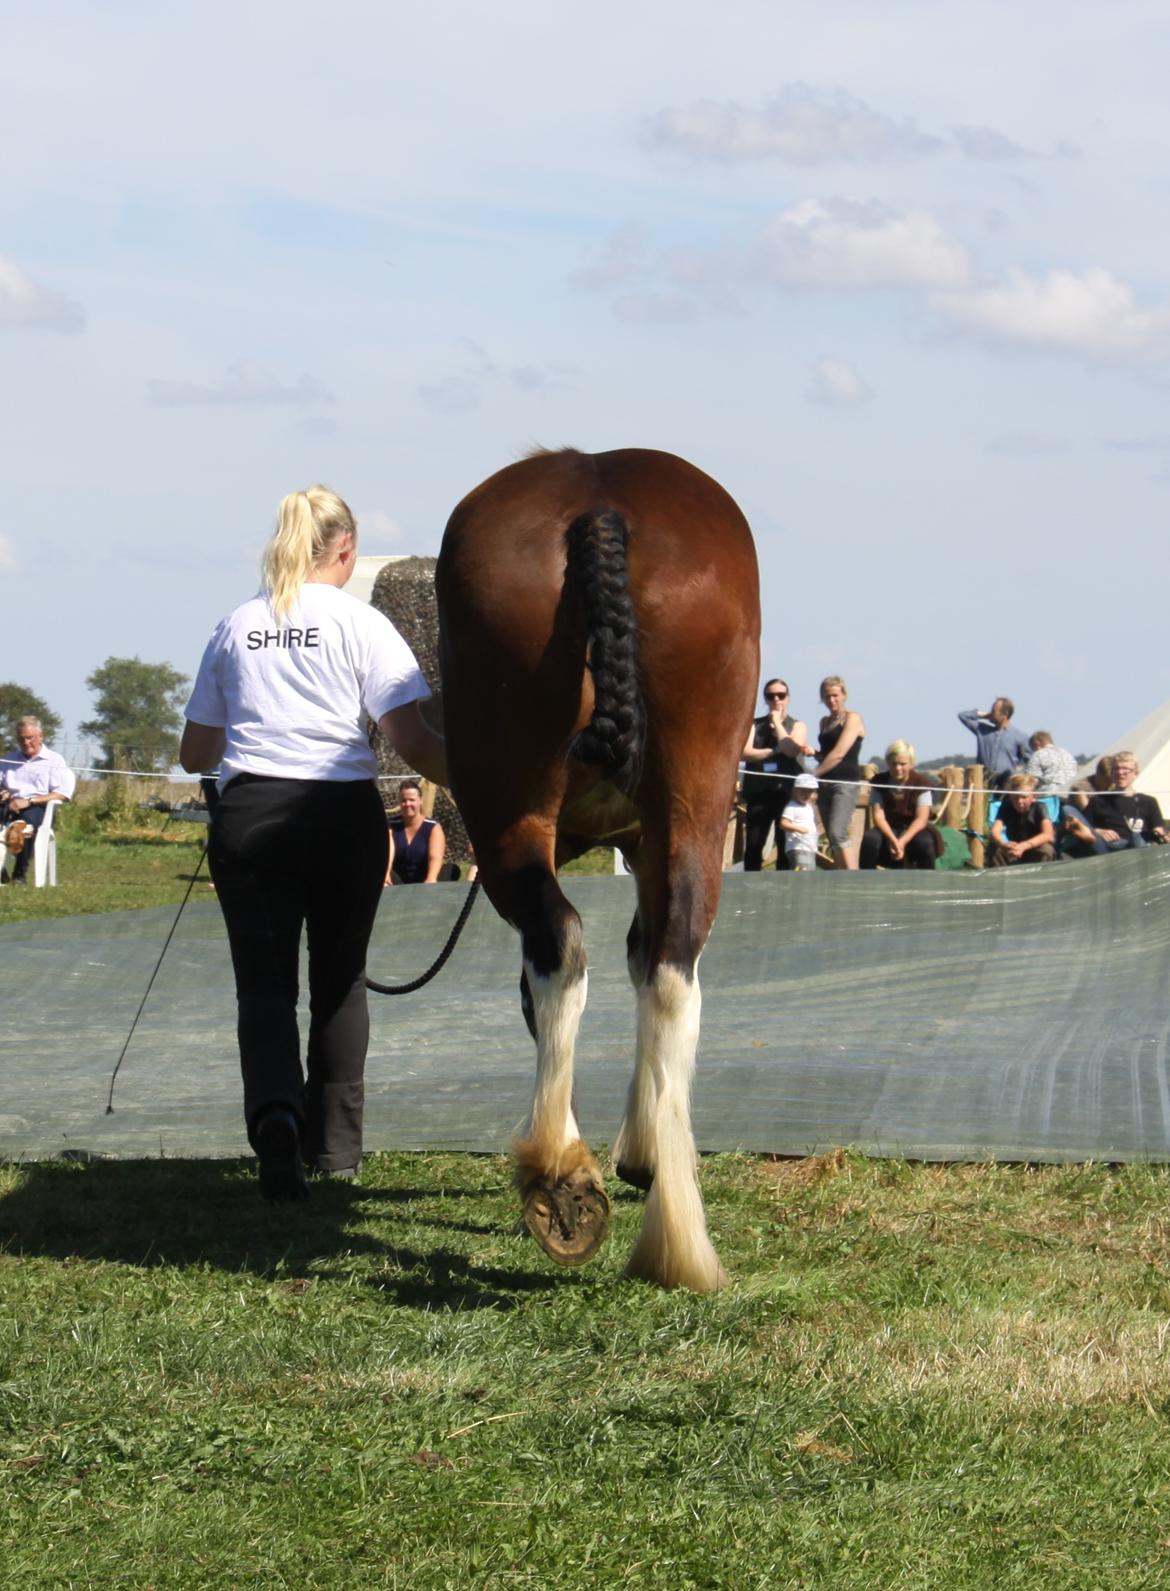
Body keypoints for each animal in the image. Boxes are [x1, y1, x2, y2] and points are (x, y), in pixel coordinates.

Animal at [436, 448, 760, 1291]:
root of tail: (597, 506)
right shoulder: (647, 840)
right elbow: (642, 956)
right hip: (691, 805)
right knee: (669, 964)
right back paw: (666, 1225)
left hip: (512, 810)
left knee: (564, 947)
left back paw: (560, 1167)